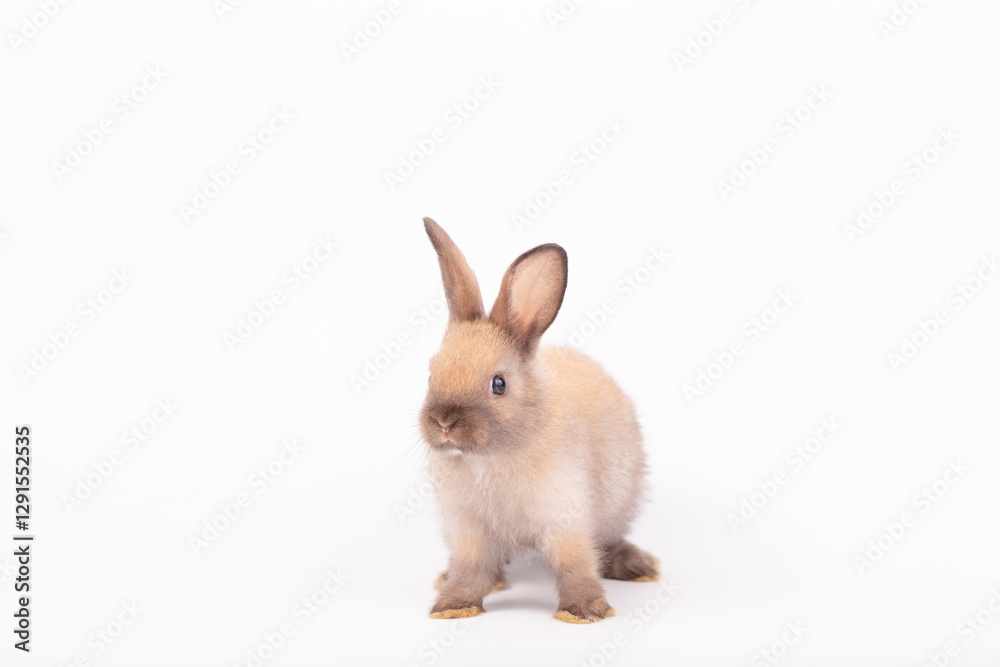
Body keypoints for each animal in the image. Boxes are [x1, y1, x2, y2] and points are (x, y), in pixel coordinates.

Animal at [419, 217, 658, 624]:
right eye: (431, 375)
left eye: (499, 384)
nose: (444, 422)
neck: (491, 457)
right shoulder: (468, 530)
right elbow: (470, 569)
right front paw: (454, 606)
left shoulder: (566, 519)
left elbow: (574, 564)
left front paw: (583, 611)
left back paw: (638, 567)